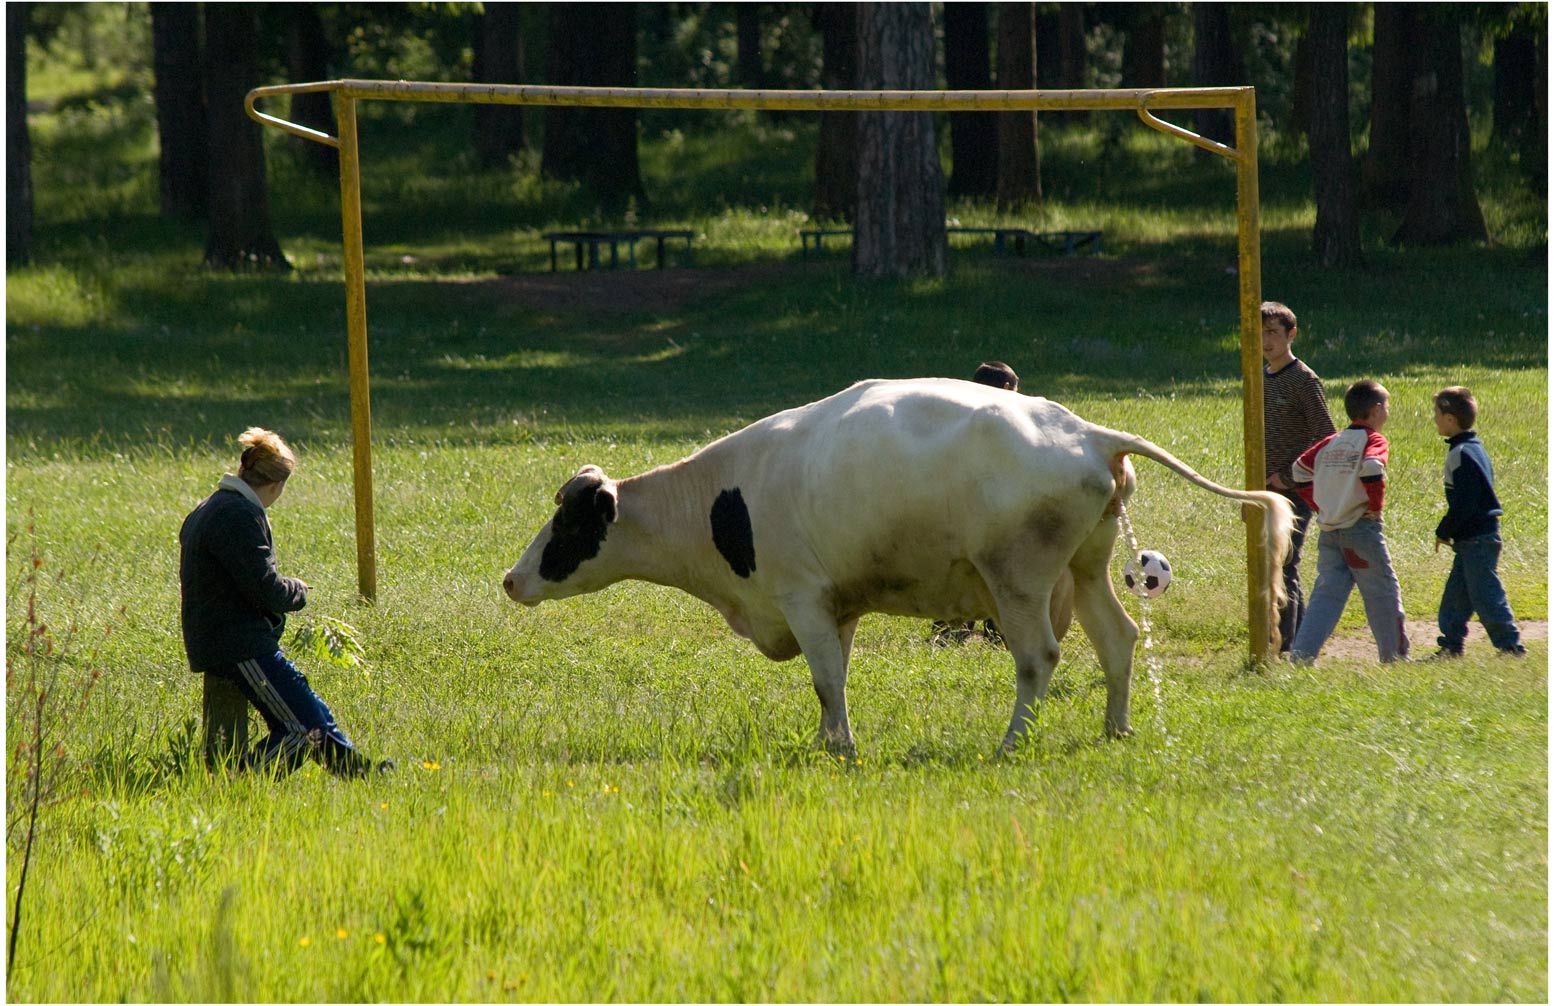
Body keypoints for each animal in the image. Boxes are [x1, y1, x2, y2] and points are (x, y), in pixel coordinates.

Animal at [503, 377, 1292, 755]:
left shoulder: (801, 598)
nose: (512, 579)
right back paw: (1116, 729)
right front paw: (827, 742)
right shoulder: (837, 606)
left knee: (1038, 656)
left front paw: (844, 749)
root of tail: (1086, 432)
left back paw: (1011, 743)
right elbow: (833, 681)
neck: (723, 498)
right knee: (1118, 639)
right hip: (1086, 567)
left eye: (569, 521)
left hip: (1019, 581)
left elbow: (826, 681)